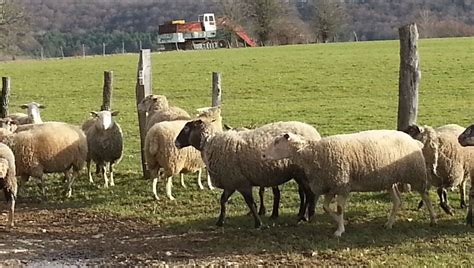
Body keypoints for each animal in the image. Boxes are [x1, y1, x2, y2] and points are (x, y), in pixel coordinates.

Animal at [175, 120, 322, 227]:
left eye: (187, 128)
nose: (175, 143)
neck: (211, 144)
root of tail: (313, 131)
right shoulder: (231, 182)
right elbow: (223, 200)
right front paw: (220, 221)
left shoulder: (241, 182)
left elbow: (251, 203)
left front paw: (258, 223)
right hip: (299, 174)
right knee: (306, 194)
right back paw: (302, 215)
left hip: (302, 173)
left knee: (309, 194)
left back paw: (304, 217)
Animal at [262, 130, 436, 237]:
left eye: (277, 142)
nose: (263, 155)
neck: (314, 153)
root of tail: (414, 141)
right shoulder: (332, 186)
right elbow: (326, 207)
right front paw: (339, 222)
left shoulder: (342, 184)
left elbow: (339, 209)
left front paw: (339, 230)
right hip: (389, 180)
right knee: (397, 201)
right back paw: (389, 224)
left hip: (416, 174)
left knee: (426, 196)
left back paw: (433, 219)